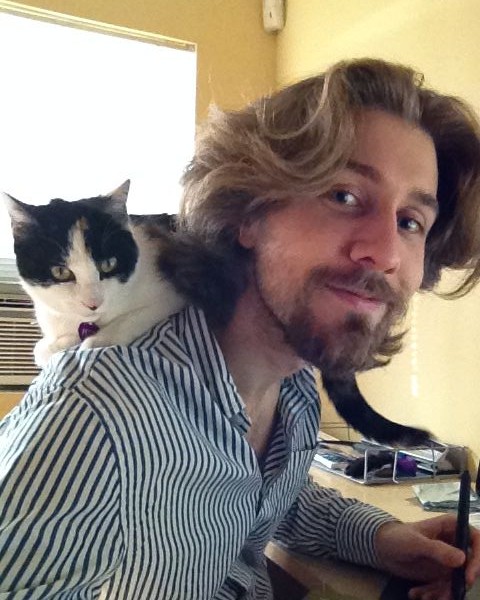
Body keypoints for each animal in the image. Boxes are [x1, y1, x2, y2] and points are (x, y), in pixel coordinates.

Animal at [5, 181, 430, 447]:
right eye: (61, 272)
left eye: (108, 264)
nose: (92, 301)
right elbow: (46, 343)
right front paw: (56, 344)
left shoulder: (174, 290)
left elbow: (128, 320)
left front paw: (94, 340)